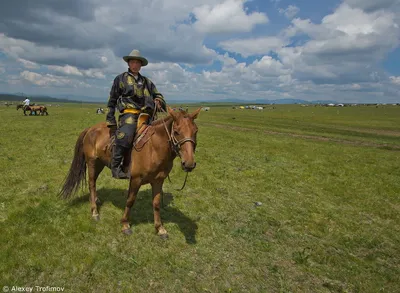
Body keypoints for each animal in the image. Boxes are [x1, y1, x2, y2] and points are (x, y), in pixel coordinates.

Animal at [57, 106, 202, 236]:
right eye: (176, 131)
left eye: (195, 131)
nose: (189, 163)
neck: (153, 148)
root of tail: (90, 129)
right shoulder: (136, 180)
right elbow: (130, 201)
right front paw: (125, 225)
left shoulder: (158, 181)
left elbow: (156, 203)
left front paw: (160, 228)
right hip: (92, 162)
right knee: (91, 183)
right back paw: (95, 212)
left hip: (100, 164)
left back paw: (96, 200)